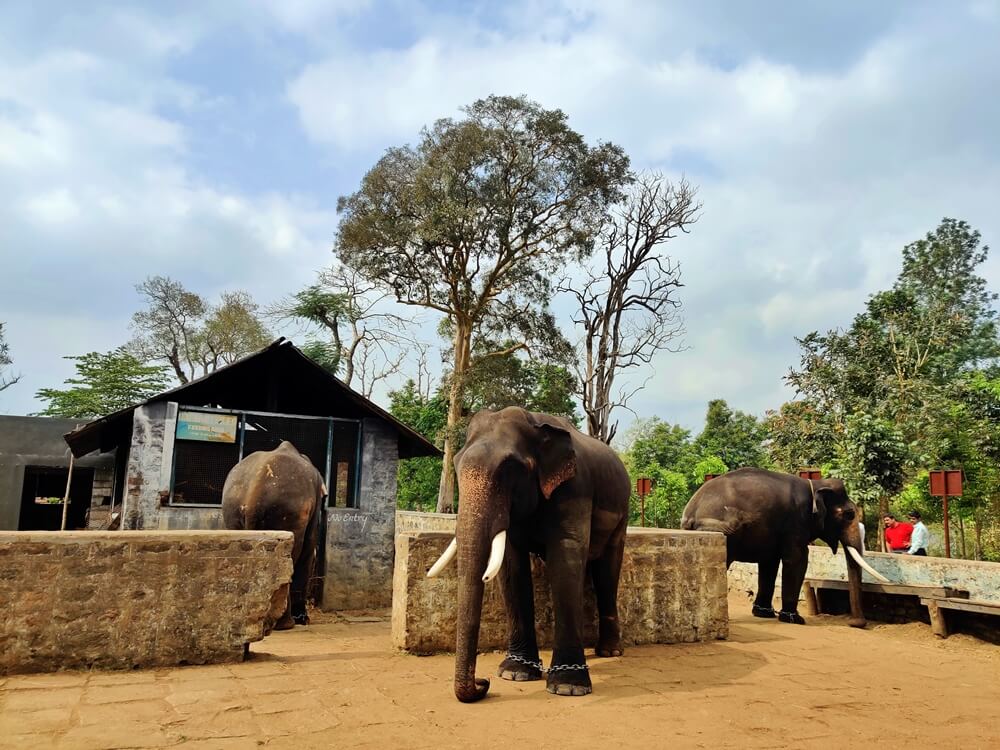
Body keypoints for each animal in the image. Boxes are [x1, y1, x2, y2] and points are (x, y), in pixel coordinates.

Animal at [222, 441, 326, 630]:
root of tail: (253, 496)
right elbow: (308, 547)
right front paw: (303, 619)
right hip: (287, 511)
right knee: (292, 553)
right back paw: (286, 623)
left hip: (232, 508)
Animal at [427, 407, 631, 703]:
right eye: (455, 462)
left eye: (511, 468)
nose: (483, 682)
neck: (535, 424)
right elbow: (512, 567)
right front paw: (515, 673)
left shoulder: (575, 488)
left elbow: (566, 557)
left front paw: (568, 687)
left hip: (622, 512)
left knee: (607, 571)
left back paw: (610, 652)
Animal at [681, 468, 888, 628]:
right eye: (849, 514)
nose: (855, 623)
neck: (815, 484)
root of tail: (691, 510)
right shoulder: (797, 522)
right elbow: (798, 560)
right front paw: (795, 619)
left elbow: (769, 563)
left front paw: (764, 613)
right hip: (719, 529)